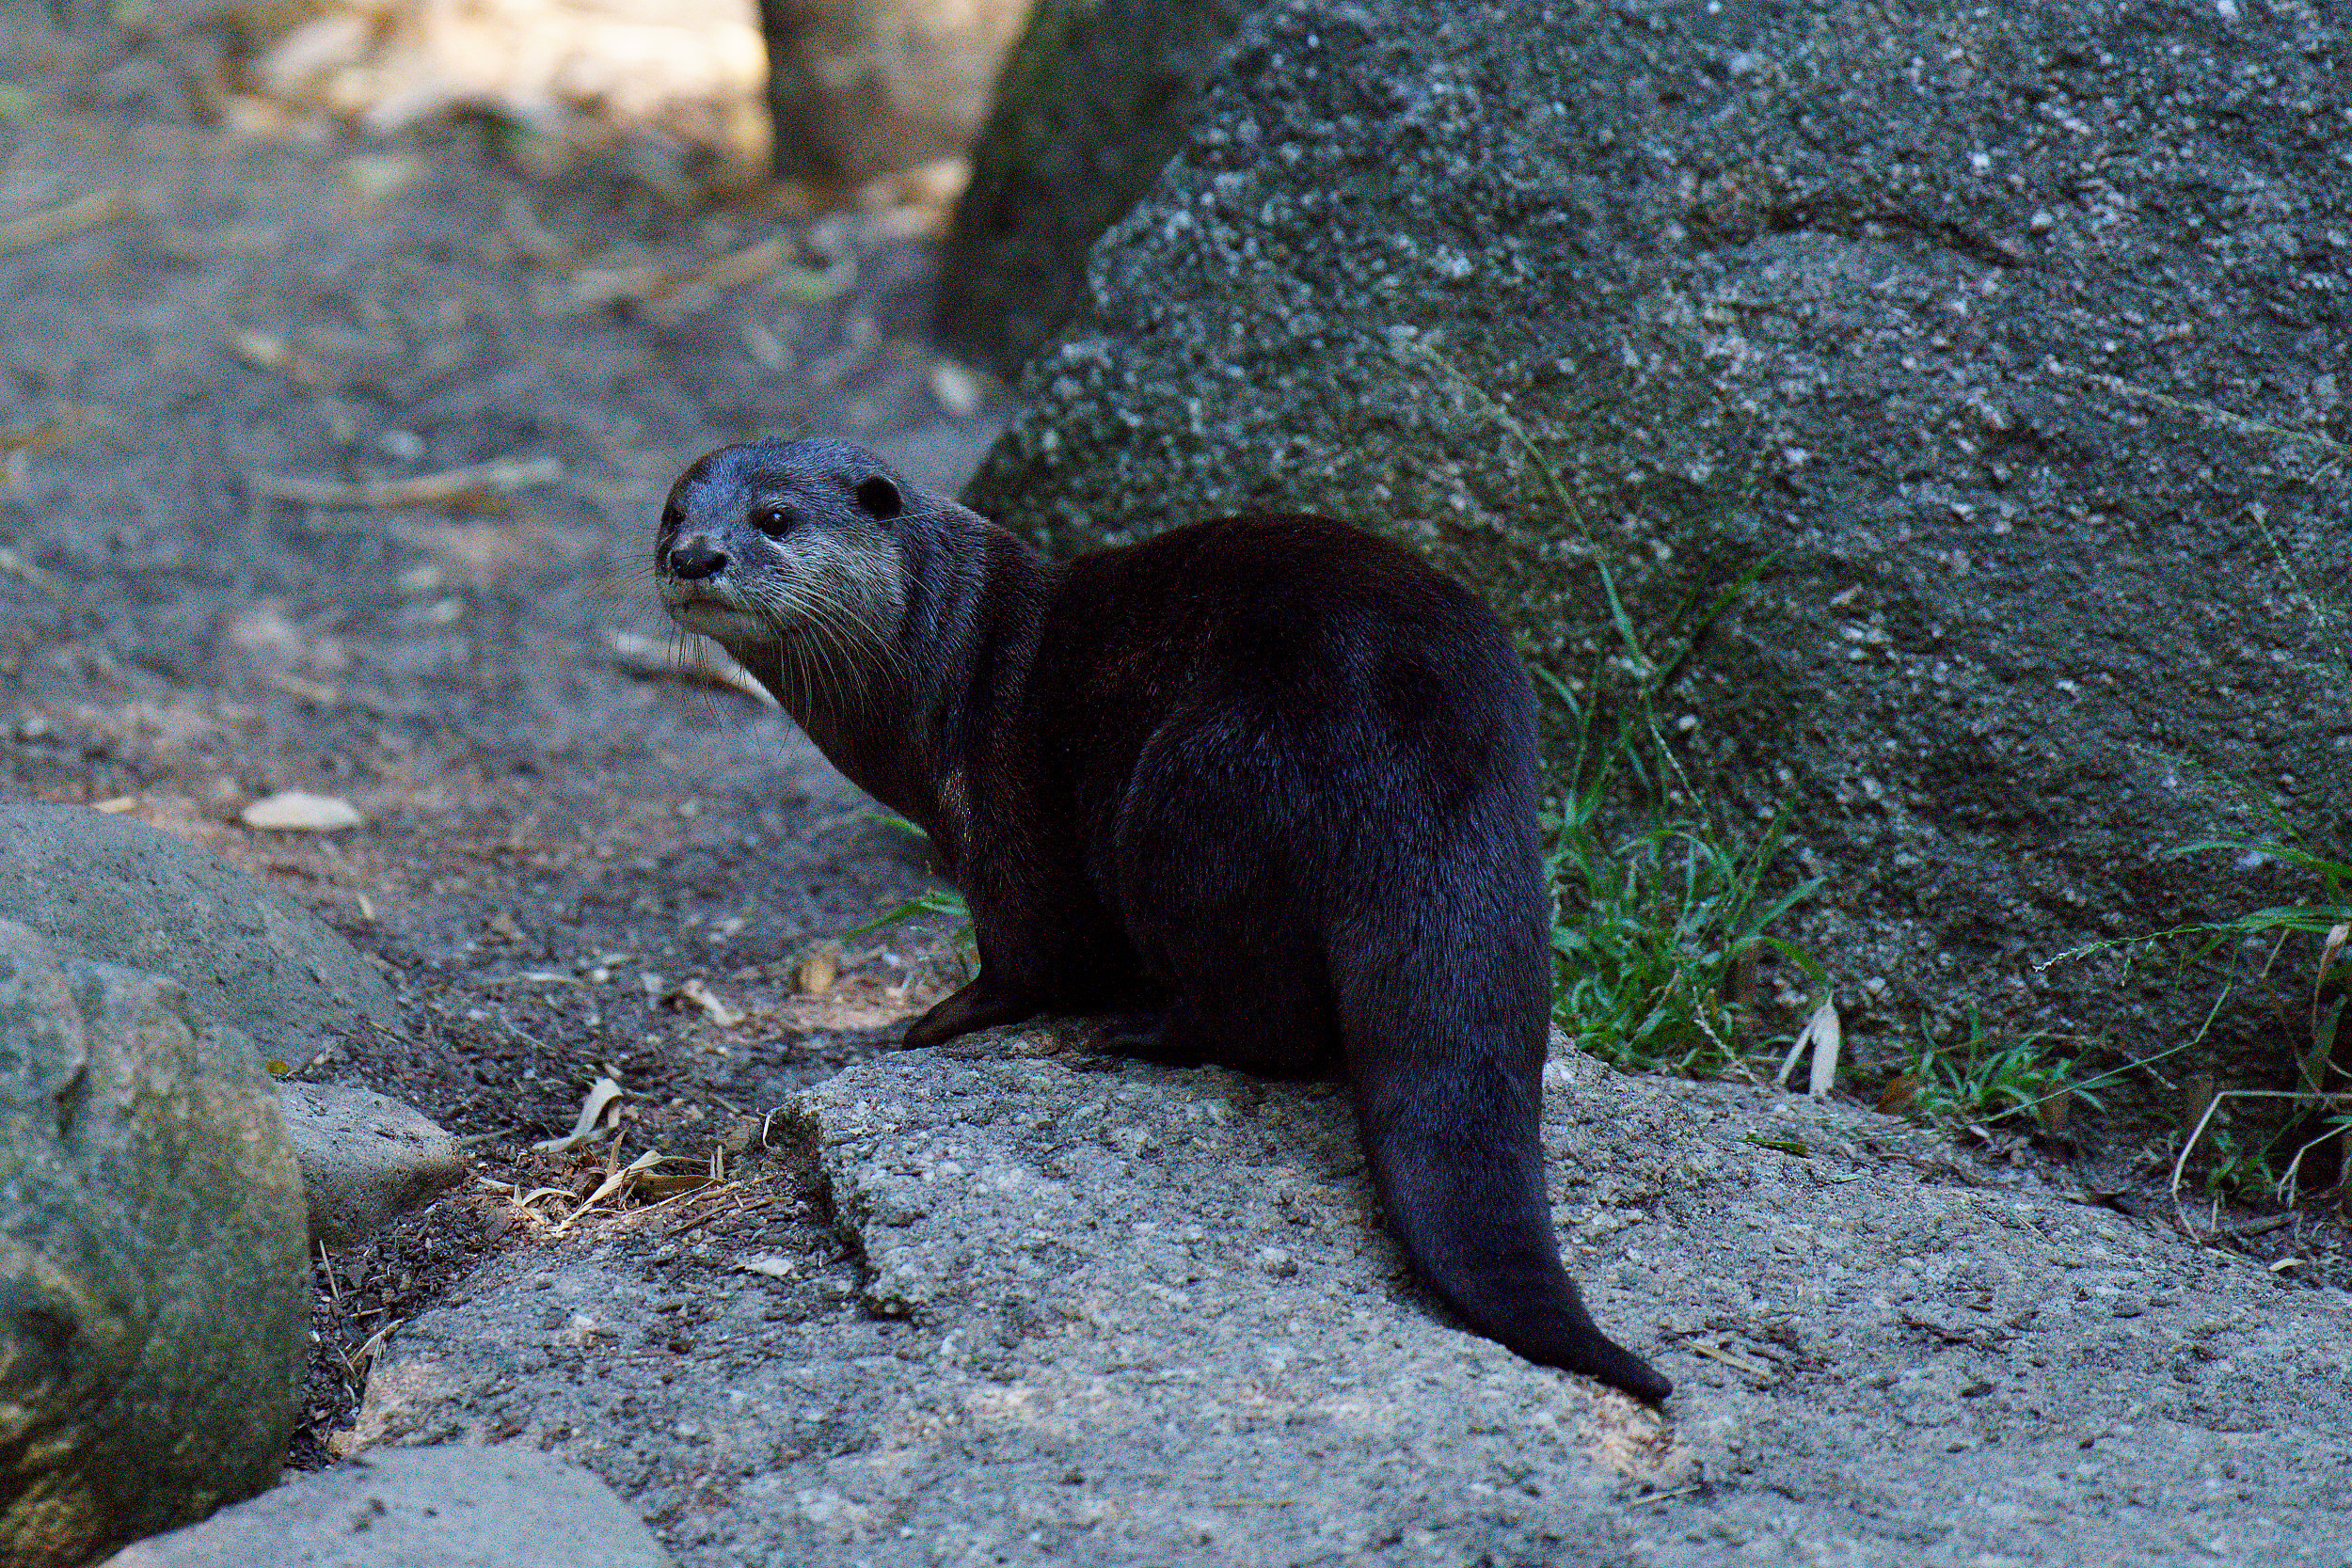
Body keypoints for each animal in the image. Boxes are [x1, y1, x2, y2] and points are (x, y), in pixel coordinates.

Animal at [659, 435, 1675, 1401]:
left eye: (775, 516)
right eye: (673, 511)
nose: (694, 554)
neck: (946, 664)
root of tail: (1421, 749)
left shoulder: (997, 799)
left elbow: (1028, 951)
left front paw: (936, 1019)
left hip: (1189, 801)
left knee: (1261, 1020)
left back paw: (1137, 1033)